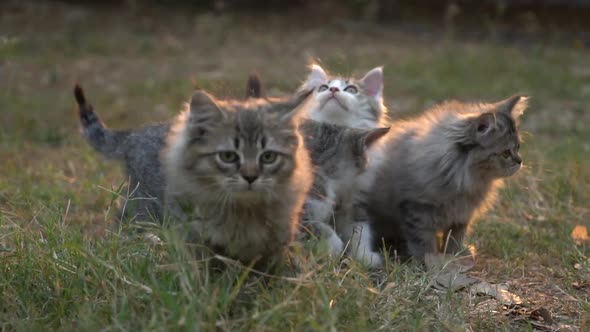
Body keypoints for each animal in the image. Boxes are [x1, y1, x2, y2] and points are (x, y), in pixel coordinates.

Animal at [368, 94, 528, 260]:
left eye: (518, 148)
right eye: (506, 153)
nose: (520, 161)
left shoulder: (461, 214)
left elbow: (455, 237)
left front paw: (455, 254)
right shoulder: (417, 208)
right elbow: (422, 241)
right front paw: (429, 260)